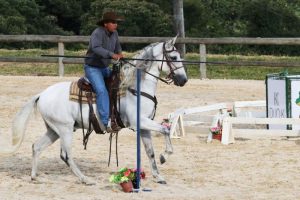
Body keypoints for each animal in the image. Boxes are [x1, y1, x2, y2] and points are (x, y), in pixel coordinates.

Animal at [2, 36, 188, 185]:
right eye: (173, 57)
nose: (183, 80)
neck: (134, 87)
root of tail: (42, 94)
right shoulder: (139, 122)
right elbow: (166, 129)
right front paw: (165, 156)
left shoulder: (143, 127)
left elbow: (150, 152)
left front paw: (159, 175)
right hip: (64, 129)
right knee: (66, 155)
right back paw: (85, 179)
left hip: (54, 130)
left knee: (37, 147)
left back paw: (35, 177)